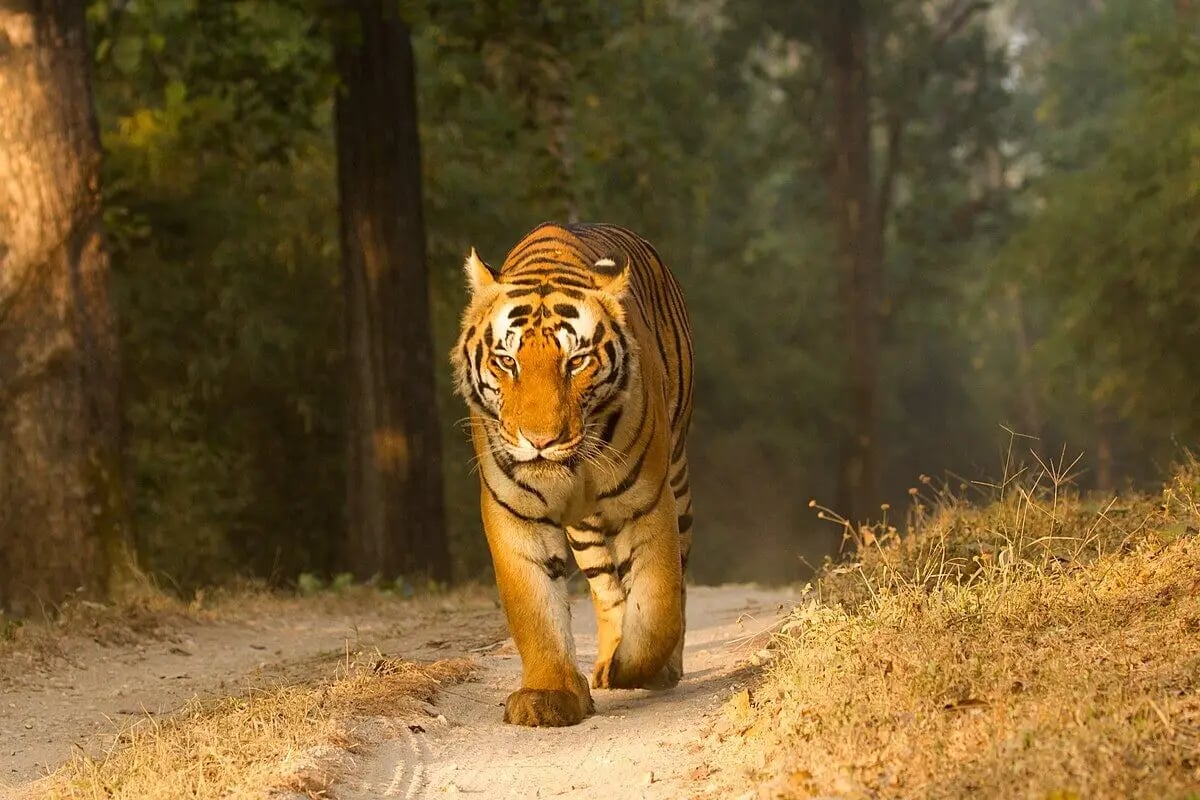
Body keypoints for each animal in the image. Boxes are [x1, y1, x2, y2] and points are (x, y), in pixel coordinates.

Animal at [451, 221, 694, 727]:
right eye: (507, 361)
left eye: (576, 361)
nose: (540, 440)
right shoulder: (515, 512)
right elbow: (535, 608)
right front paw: (550, 695)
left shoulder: (648, 501)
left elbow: (658, 605)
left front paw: (637, 669)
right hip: (587, 531)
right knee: (607, 590)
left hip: (678, 481)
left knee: (676, 579)